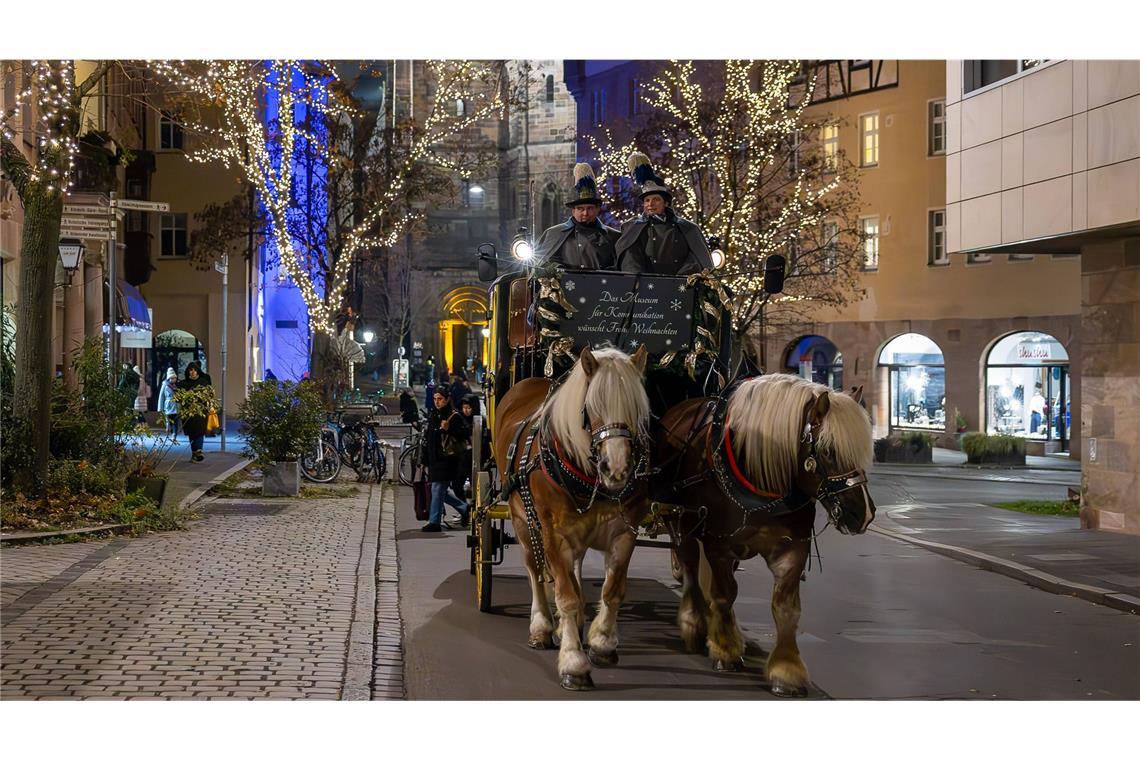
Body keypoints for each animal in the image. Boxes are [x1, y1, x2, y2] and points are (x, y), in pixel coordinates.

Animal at [492, 348, 652, 692]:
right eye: (591, 407)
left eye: (637, 409)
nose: (616, 469)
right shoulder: (553, 533)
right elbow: (565, 595)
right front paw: (573, 663)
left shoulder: (624, 531)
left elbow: (611, 590)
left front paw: (602, 642)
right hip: (523, 520)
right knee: (535, 570)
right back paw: (541, 626)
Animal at [652, 371, 870, 697]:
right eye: (829, 450)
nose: (864, 515)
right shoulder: (717, 542)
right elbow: (724, 594)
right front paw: (725, 650)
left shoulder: (793, 548)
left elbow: (786, 608)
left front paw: (787, 671)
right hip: (681, 522)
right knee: (689, 567)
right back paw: (694, 624)